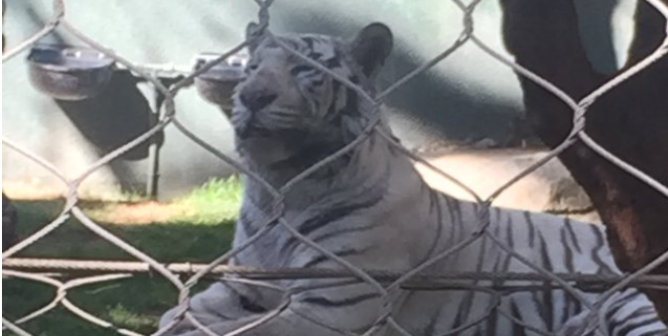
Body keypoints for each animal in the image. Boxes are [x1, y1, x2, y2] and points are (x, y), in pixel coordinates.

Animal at [162, 23, 668, 336]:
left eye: (307, 70)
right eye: (251, 69)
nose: (251, 96)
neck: (282, 186)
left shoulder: (331, 307)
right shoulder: (240, 289)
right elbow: (176, 316)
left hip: (629, 302)